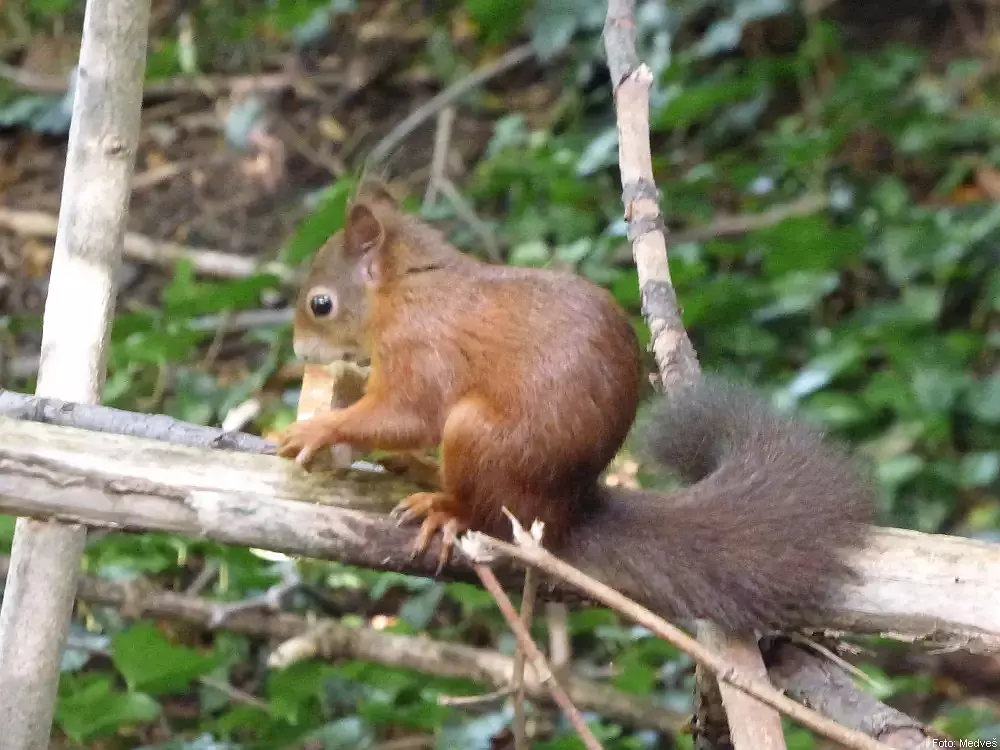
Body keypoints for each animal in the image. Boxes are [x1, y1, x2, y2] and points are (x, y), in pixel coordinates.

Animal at [278, 182, 872, 636]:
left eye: (320, 304)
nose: (300, 353)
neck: (405, 291)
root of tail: (570, 507)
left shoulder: (422, 350)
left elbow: (408, 414)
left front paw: (319, 427)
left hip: (480, 438)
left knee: (487, 514)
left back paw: (446, 508)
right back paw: (420, 470)